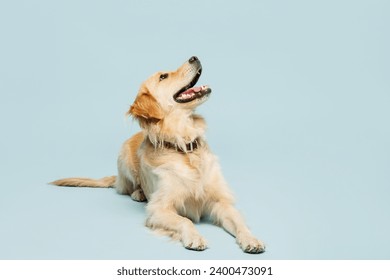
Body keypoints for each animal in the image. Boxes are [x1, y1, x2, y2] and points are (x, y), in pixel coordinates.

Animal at [51, 55, 266, 253]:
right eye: (163, 76)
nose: (194, 57)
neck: (184, 147)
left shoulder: (221, 201)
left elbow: (240, 222)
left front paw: (251, 239)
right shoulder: (159, 209)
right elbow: (184, 220)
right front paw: (195, 237)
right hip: (123, 156)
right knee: (128, 188)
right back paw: (138, 193)